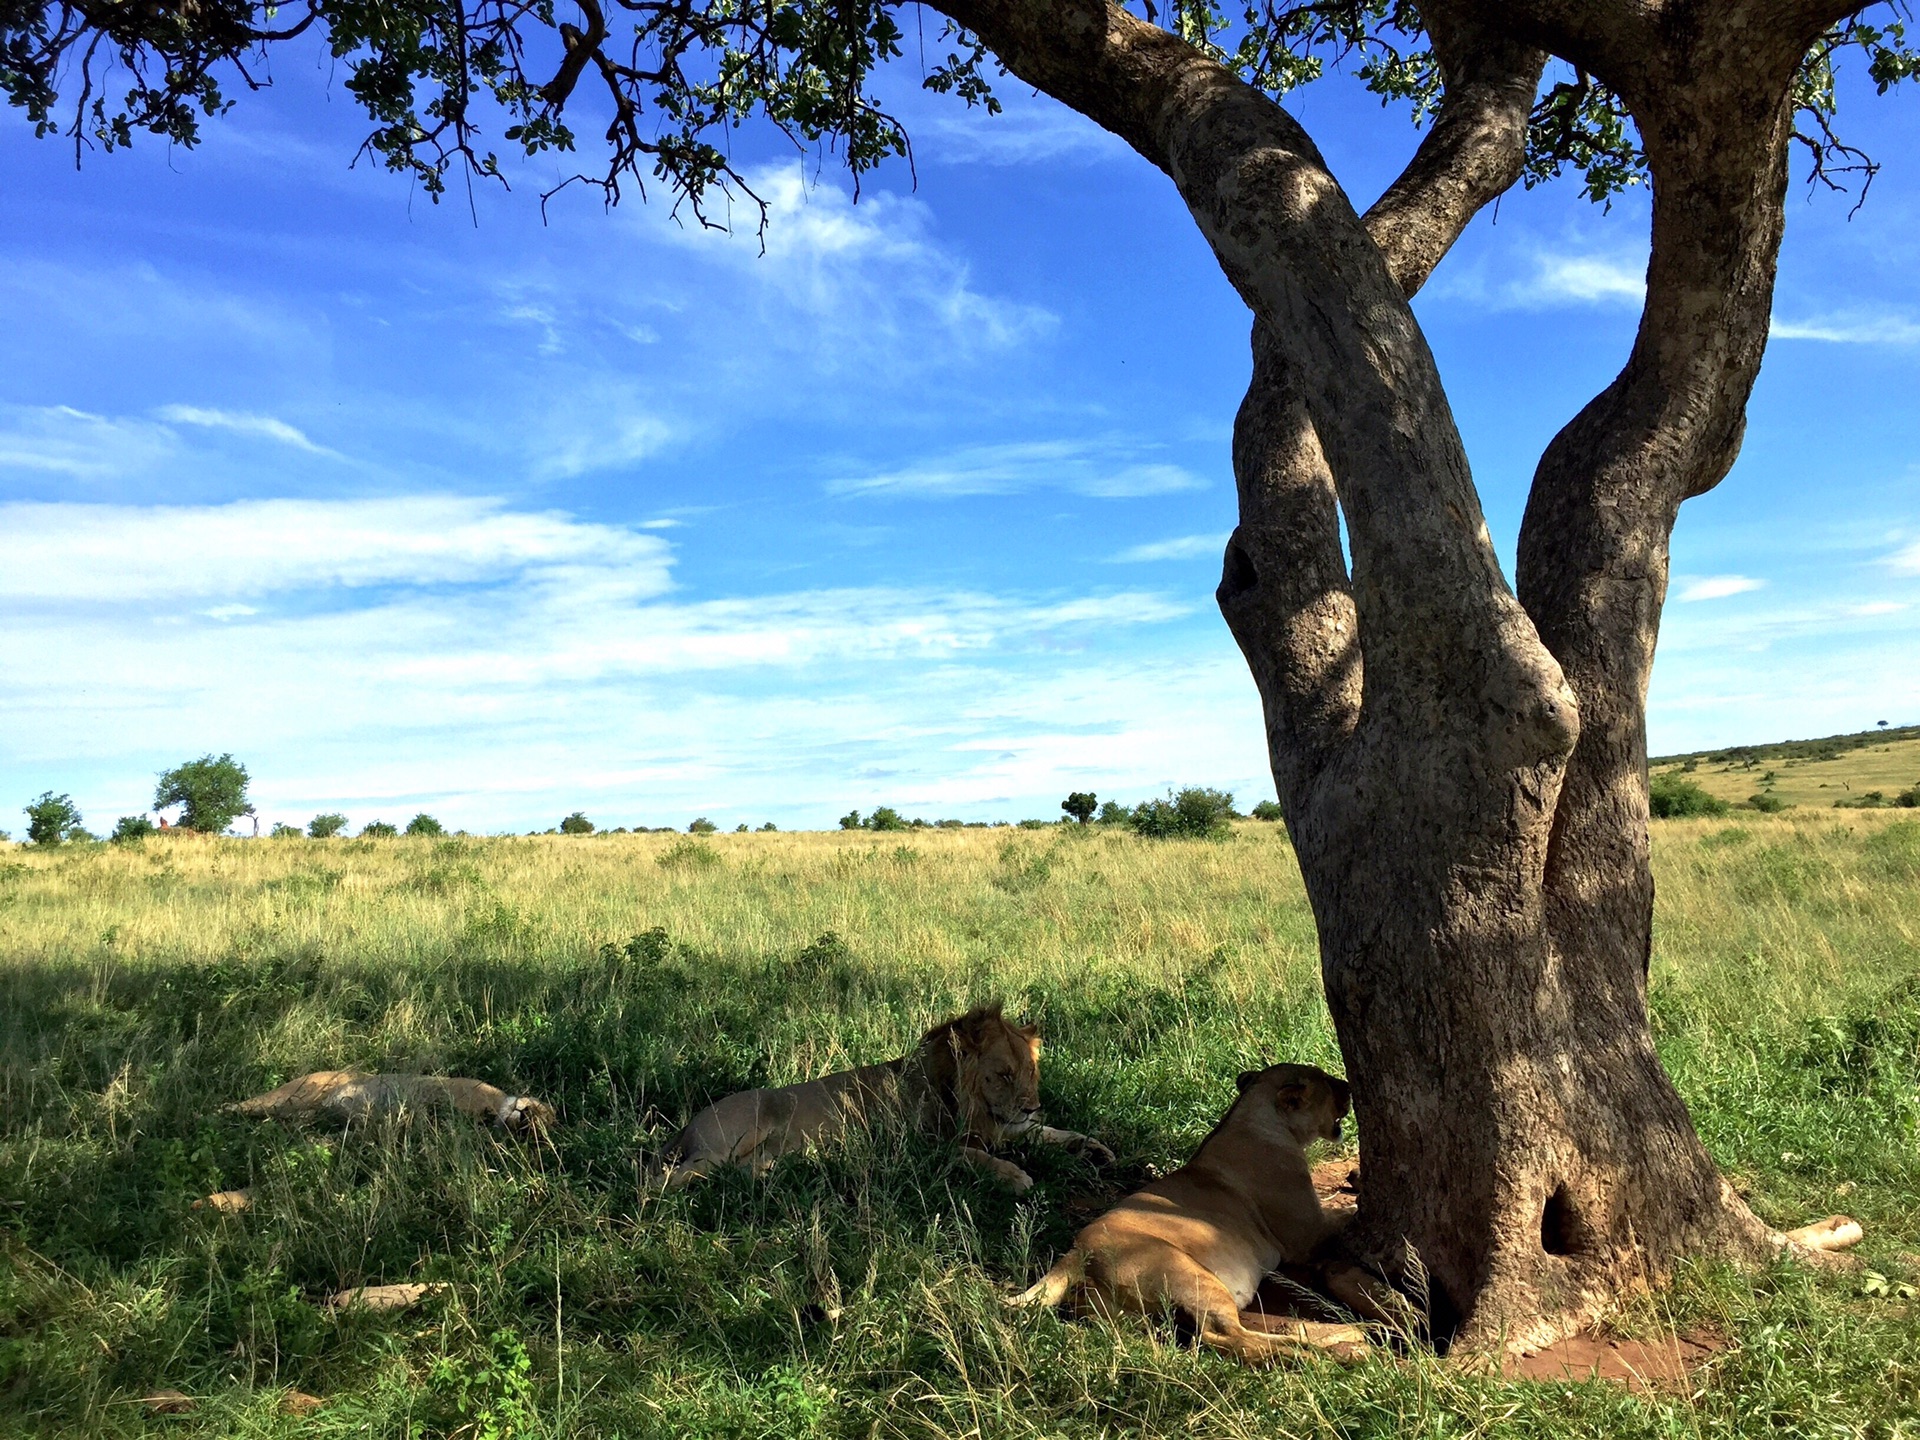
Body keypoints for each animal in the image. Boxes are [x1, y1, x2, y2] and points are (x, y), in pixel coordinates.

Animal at [656, 1006, 1113, 1198]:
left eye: (1031, 1071)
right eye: (1003, 1074)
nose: (1031, 1105)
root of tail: (689, 1124)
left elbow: (1051, 1133)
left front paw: (1094, 1147)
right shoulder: (923, 1147)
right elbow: (974, 1156)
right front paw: (1014, 1175)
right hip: (727, 1140)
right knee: (664, 1178)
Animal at [1021, 1067, 1367, 1367]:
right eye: (1327, 1081)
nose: (1350, 1086)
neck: (1252, 1114)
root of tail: (1076, 1252)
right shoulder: (1307, 1236)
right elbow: (1343, 1217)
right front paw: (1355, 1205)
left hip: (1129, 1318)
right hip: (1191, 1276)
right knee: (1228, 1338)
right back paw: (1325, 1352)